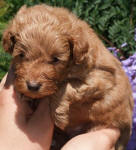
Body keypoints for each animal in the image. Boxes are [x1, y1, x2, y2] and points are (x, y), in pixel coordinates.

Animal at [2, 4, 134, 149]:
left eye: (55, 59)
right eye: (21, 55)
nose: (32, 86)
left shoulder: (103, 78)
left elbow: (67, 86)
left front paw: (58, 113)